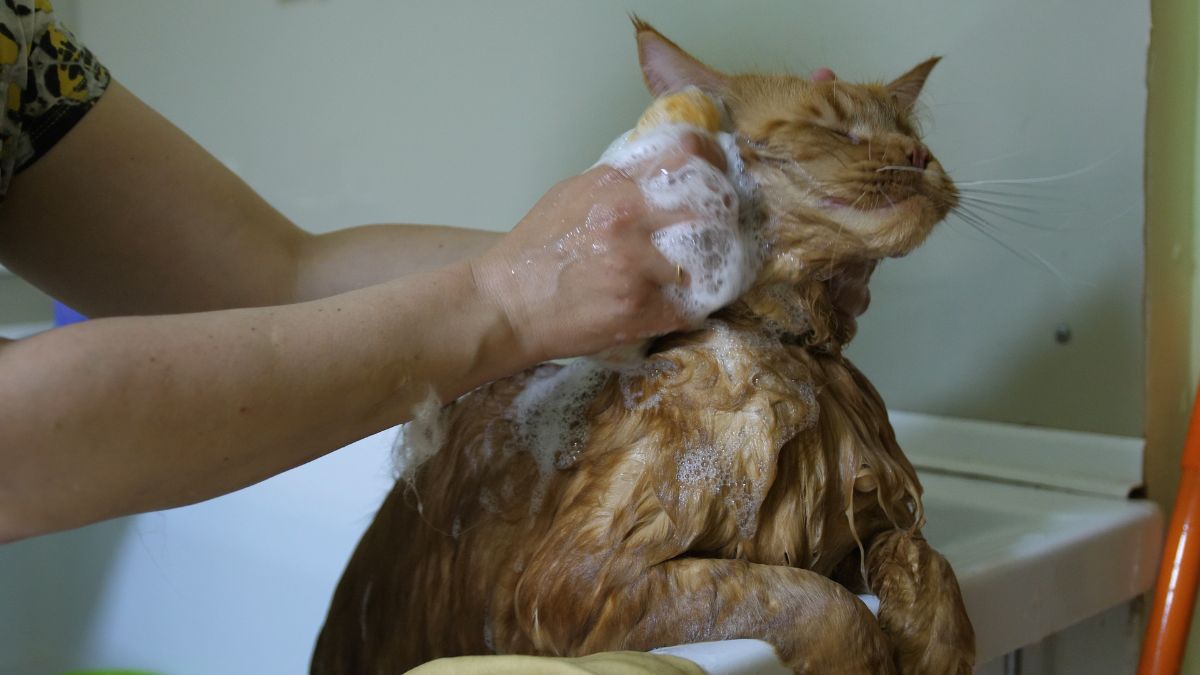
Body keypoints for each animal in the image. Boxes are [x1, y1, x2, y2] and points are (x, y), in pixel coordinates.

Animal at [312, 18, 974, 667]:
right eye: (831, 126)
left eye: (909, 131)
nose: (919, 156)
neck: (792, 351)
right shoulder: (578, 581)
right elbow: (820, 603)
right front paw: (869, 653)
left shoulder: (867, 529)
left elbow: (929, 564)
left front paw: (929, 645)